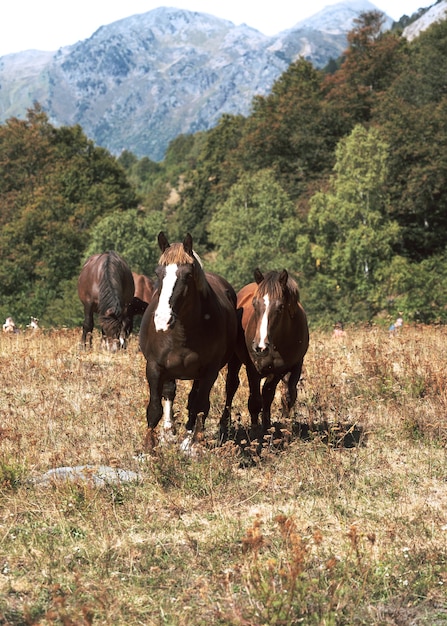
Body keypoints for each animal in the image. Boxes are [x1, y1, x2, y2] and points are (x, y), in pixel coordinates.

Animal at [139, 230, 238, 448]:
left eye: (187, 275)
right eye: (158, 273)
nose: (162, 319)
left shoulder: (209, 371)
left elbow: (200, 406)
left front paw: (195, 444)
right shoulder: (155, 367)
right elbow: (155, 407)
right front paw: (149, 447)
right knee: (171, 393)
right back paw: (169, 432)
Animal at [220, 268, 308, 438]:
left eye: (280, 307)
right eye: (255, 304)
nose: (259, 346)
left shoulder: (282, 369)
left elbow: (274, 395)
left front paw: (271, 427)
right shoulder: (253, 369)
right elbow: (255, 401)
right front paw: (255, 433)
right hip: (235, 359)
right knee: (231, 386)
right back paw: (224, 423)